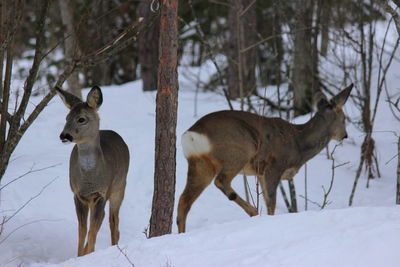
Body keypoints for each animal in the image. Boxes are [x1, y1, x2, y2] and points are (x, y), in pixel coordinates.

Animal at [54, 86, 129, 258]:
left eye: (81, 119)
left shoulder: (101, 193)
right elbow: (82, 230)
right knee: (103, 219)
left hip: (119, 187)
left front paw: (89, 254)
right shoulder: (77, 194)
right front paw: (80, 255)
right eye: (67, 117)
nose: (64, 135)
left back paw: (114, 247)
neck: (90, 178)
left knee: (113, 222)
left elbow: (92, 230)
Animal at [177, 85, 352, 233]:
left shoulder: (260, 173)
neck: (298, 143)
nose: (345, 135)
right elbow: (271, 202)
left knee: (184, 200)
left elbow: (267, 200)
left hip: (199, 164)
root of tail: (191, 134)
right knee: (221, 181)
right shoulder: (274, 166)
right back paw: (253, 211)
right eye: (344, 119)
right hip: (239, 151)